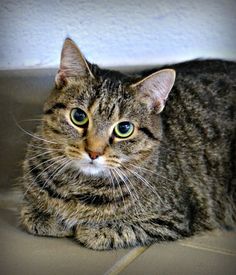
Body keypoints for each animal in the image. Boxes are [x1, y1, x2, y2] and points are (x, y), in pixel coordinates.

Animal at [18, 37, 236, 251]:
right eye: (78, 116)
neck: (79, 185)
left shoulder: (175, 218)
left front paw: (91, 228)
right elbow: (30, 212)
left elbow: (120, 229)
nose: (93, 152)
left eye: (124, 129)